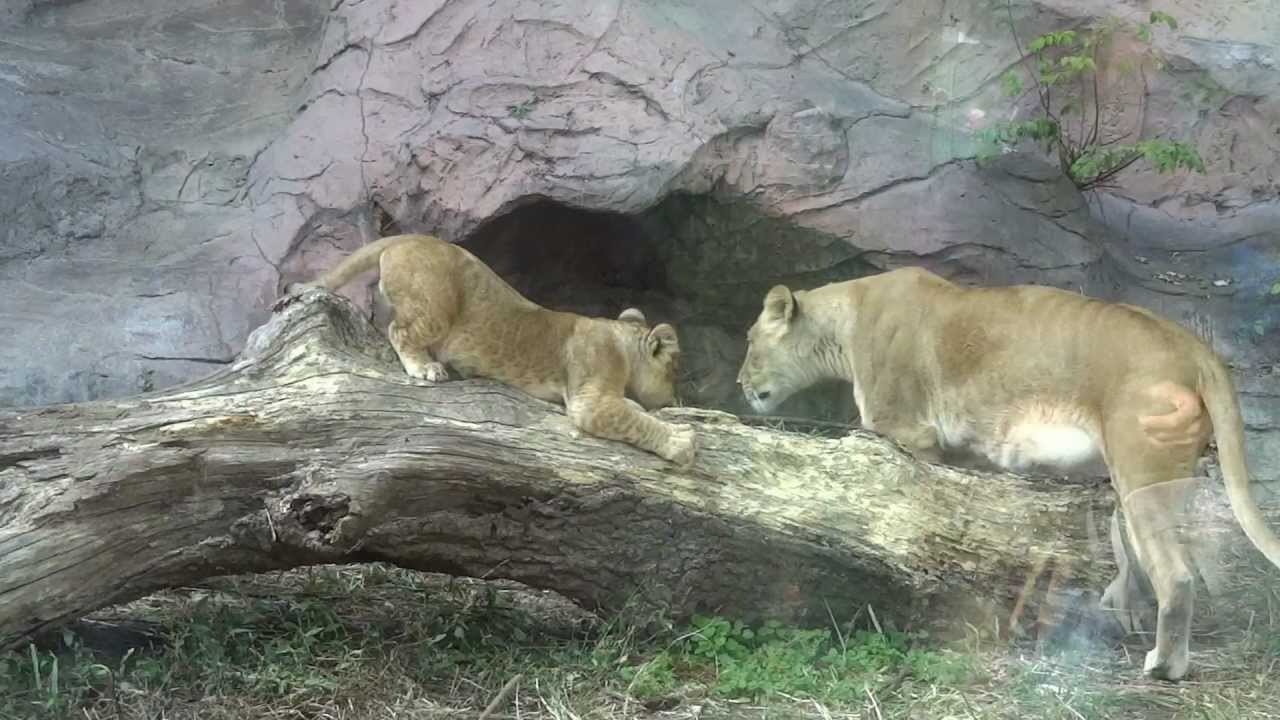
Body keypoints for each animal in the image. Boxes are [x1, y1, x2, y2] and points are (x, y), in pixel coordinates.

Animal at [292, 233, 696, 465]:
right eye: (675, 372)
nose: (676, 400)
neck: (620, 339)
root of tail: (411, 237)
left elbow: (631, 411)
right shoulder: (590, 399)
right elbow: (636, 421)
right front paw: (681, 442)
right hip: (436, 306)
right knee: (398, 331)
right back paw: (426, 367)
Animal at [735, 266, 1280, 681]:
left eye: (750, 342)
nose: (740, 383)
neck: (844, 322)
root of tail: (1193, 346)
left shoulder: (909, 433)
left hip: (1138, 468)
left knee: (1176, 574)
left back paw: (1163, 666)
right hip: (1164, 478)